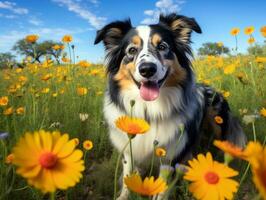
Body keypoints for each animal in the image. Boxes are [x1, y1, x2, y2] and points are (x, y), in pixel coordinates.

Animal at [94, 13, 246, 199]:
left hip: (216, 118)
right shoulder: (129, 150)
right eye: (131, 50)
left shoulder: (170, 157)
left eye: (162, 46)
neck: (149, 111)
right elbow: (127, 177)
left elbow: (163, 187)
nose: (147, 69)